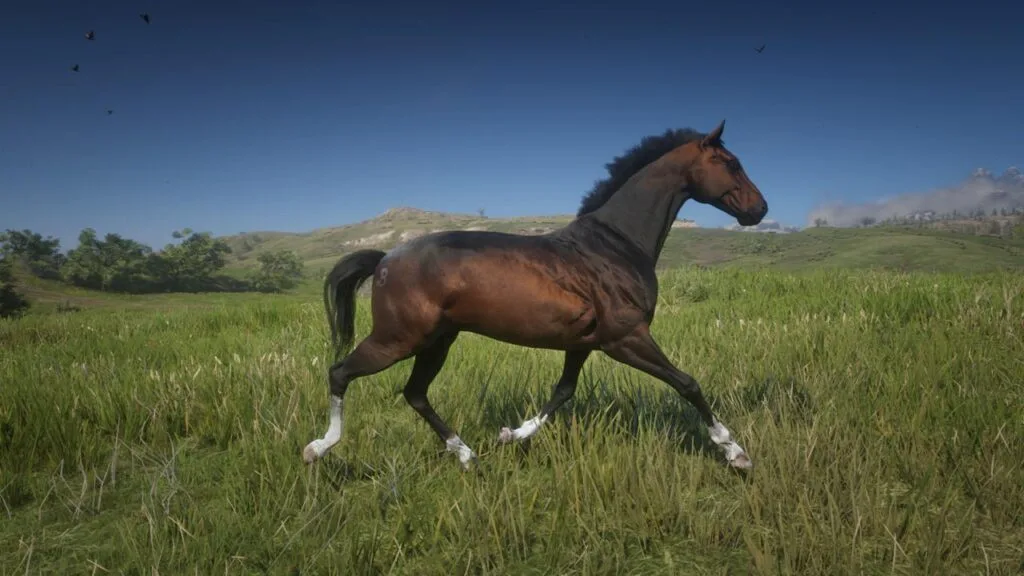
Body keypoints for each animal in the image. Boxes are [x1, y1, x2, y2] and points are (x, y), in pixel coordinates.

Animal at [303, 119, 768, 471]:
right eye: (730, 163)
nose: (759, 209)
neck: (614, 246)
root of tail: (385, 258)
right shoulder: (627, 338)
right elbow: (688, 384)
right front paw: (735, 452)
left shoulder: (584, 343)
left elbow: (562, 392)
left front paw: (511, 435)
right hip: (398, 339)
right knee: (340, 373)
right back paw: (318, 448)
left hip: (437, 341)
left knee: (415, 394)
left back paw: (467, 455)